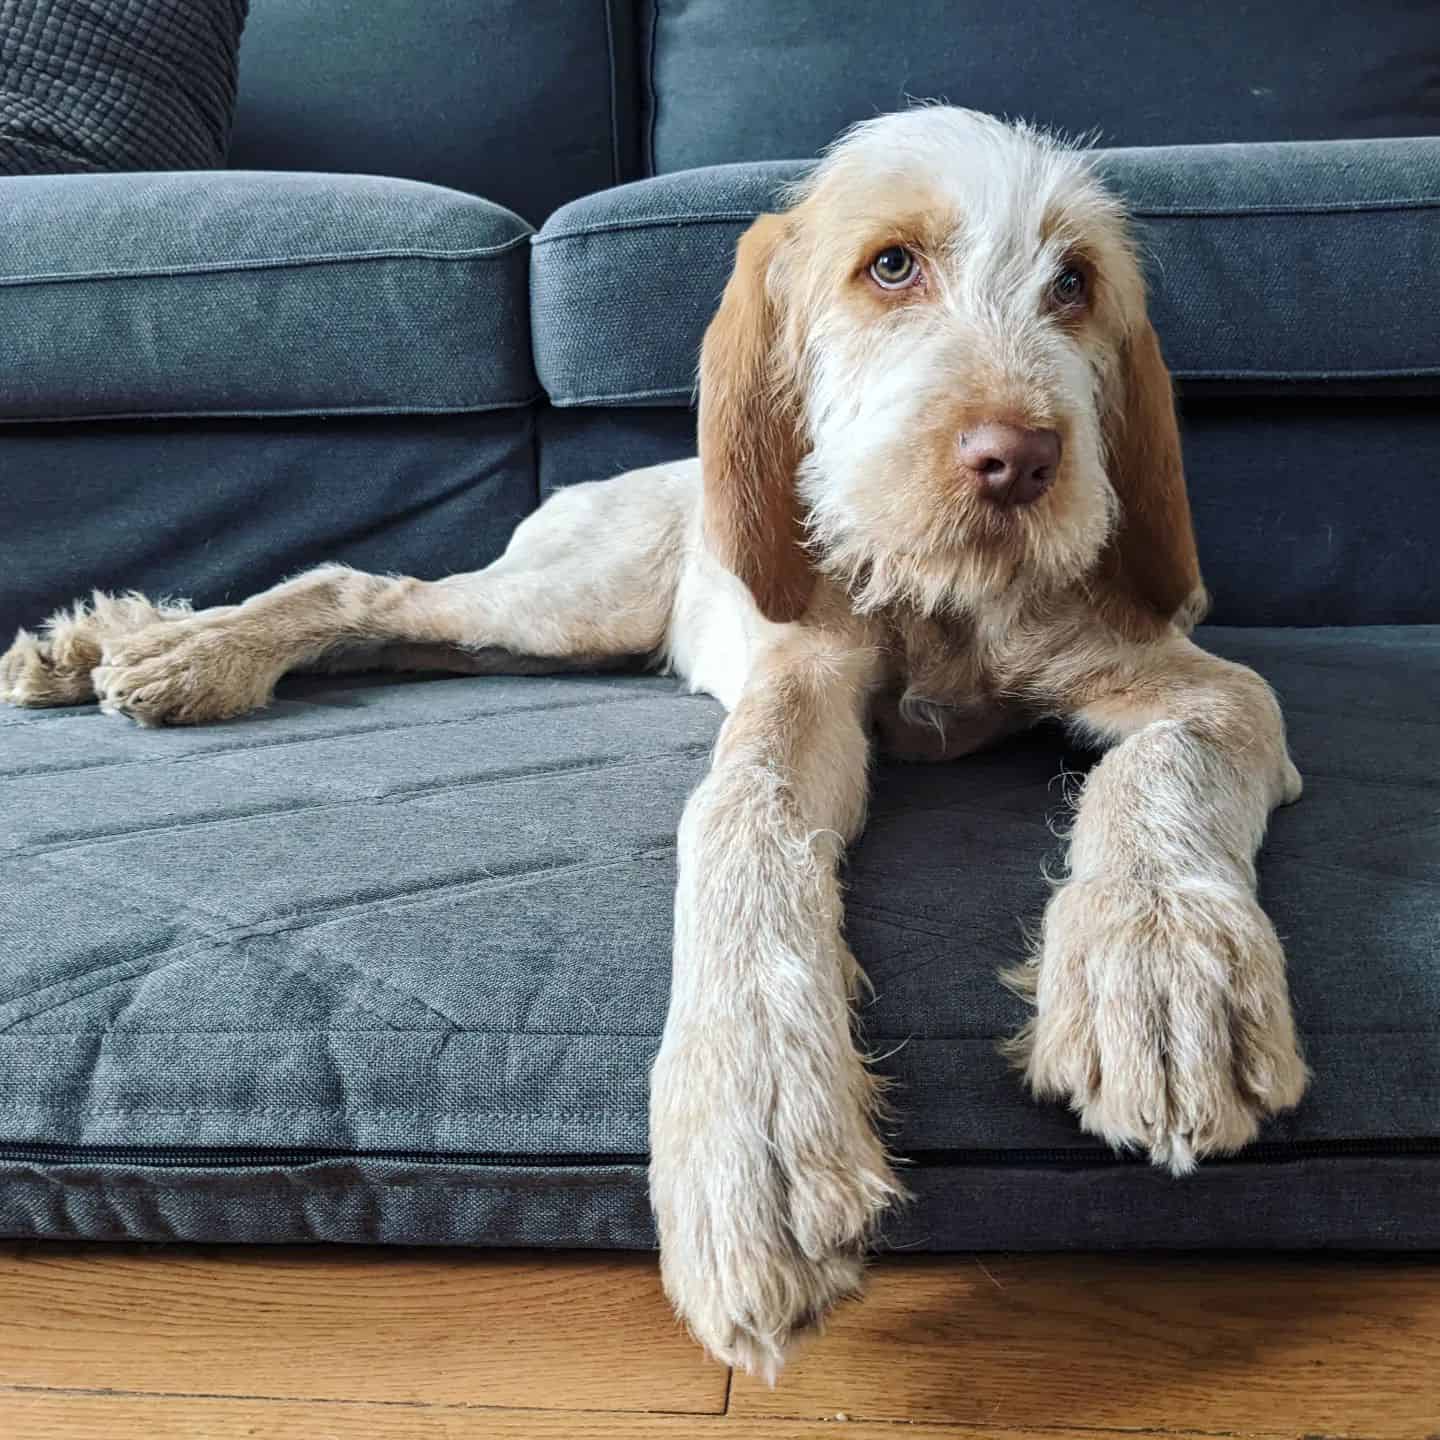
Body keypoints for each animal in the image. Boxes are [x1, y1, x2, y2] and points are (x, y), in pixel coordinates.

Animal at [0, 106, 1313, 1376]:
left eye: (1074, 284)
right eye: (891, 266)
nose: (1021, 459)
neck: (940, 608)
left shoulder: (1210, 686)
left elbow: (1172, 758)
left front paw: (1160, 963)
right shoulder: (800, 681)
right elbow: (738, 812)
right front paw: (752, 1115)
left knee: (385, 630)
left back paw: (117, 646)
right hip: (567, 604)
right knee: (361, 586)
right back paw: (167, 650)